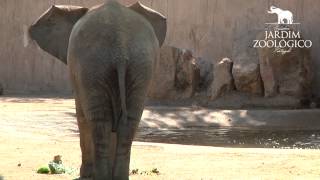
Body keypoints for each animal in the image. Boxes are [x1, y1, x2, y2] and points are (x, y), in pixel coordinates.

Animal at [28, 0, 166, 179]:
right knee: (128, 122)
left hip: (93, 64)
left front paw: (85, 175)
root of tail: (120, 47)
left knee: (99, 121)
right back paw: (119, 176)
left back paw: (100, 175)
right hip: (140, 64)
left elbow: (81, 116)